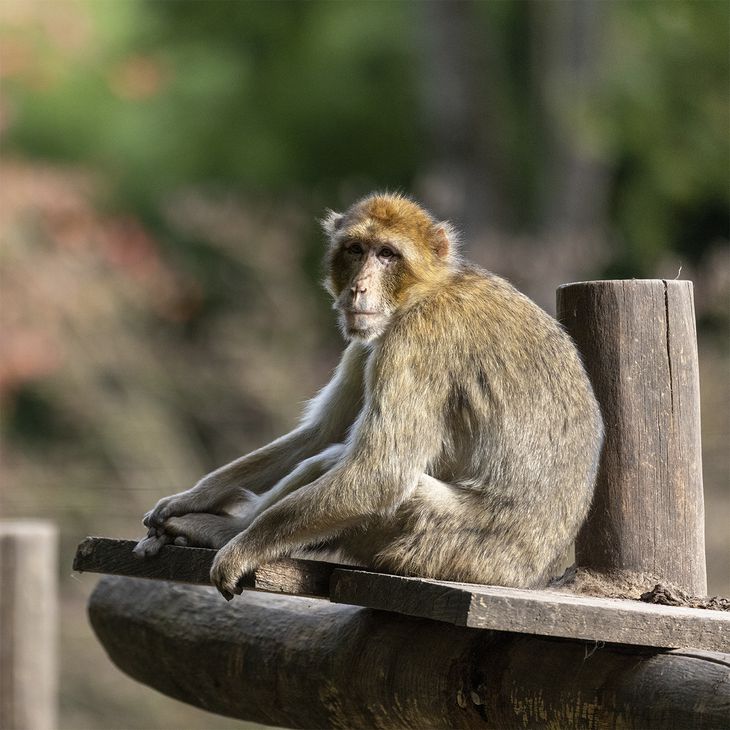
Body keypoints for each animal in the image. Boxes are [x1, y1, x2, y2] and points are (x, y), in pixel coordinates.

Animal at [135, 192, 604, 600]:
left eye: (387, 255)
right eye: (356, 249)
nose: (359, 288)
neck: (425, 291)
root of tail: (526, 573)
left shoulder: (413, 342)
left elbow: (381, 473)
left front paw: (239, 549)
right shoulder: (370, 338)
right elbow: (322, 432)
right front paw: (194, 496)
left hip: (440, 543)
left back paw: (230, 533)